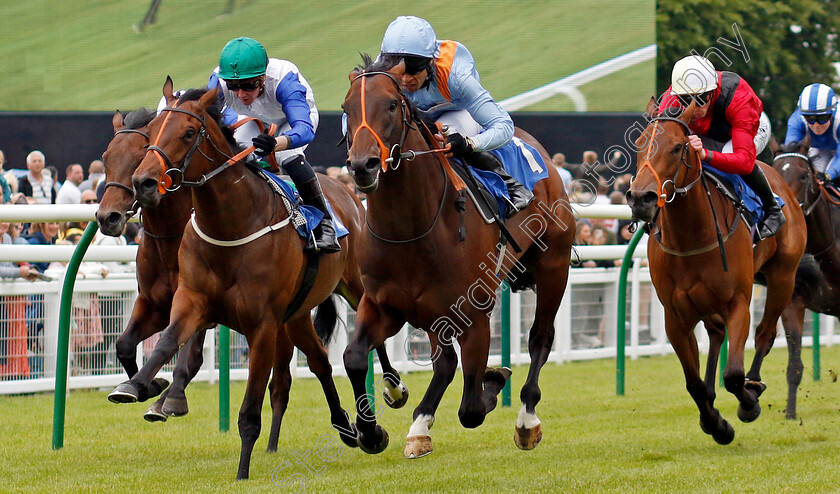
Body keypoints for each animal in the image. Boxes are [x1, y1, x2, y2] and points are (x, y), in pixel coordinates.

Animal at [106, 83, 400, 480]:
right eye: (150, 135)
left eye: (188, 133)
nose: (144, 183)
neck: (230, 224)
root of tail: (347, 194)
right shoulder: (184, 302)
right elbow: (157, 343)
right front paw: (140, 386)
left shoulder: (261, 325)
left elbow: (238, 400)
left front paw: (241, 471)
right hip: (296, 316)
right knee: (321, 363)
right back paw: (345, 426)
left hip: (354, 287)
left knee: (371, 337)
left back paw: (390, 392)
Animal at [342, 58, 576, 460]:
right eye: (345, 108)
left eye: (391, 105)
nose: (362, 165)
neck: (411, 229)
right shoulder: (383, 305)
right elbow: (354, 356)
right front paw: (372, 432)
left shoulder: (474, 315)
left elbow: (471, 408)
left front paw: (494, 380)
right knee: (445, 364)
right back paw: (420, 426)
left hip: (553, 267)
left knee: (540, 338)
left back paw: (527, 419)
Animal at [632, 100, 808, 444]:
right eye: (639, 145)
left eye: (677, 147)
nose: (639, 198)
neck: (691, 237)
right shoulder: (675, 317)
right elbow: (693, 383)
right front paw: (715, 423)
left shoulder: (738, 302)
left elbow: (734, 374)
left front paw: (748, 404)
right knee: (715, 332)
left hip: (783, 276)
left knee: (765, 334)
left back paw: (754, 384)